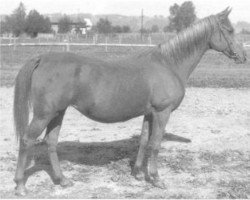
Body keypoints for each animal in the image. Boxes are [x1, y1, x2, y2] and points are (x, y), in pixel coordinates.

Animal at [12, 8, 246, 195]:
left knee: (51, 143)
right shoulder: (162, 112)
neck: (168, 64)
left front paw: (138, 174)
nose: (243, 56)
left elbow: (143, 141)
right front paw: (156, 179)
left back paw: (62, 180)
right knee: (27, 140)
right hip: (44, 115)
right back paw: (21, 186)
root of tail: (43, 58)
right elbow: (155, 144)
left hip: (58, 113)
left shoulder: (149, 113)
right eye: (229, 30)